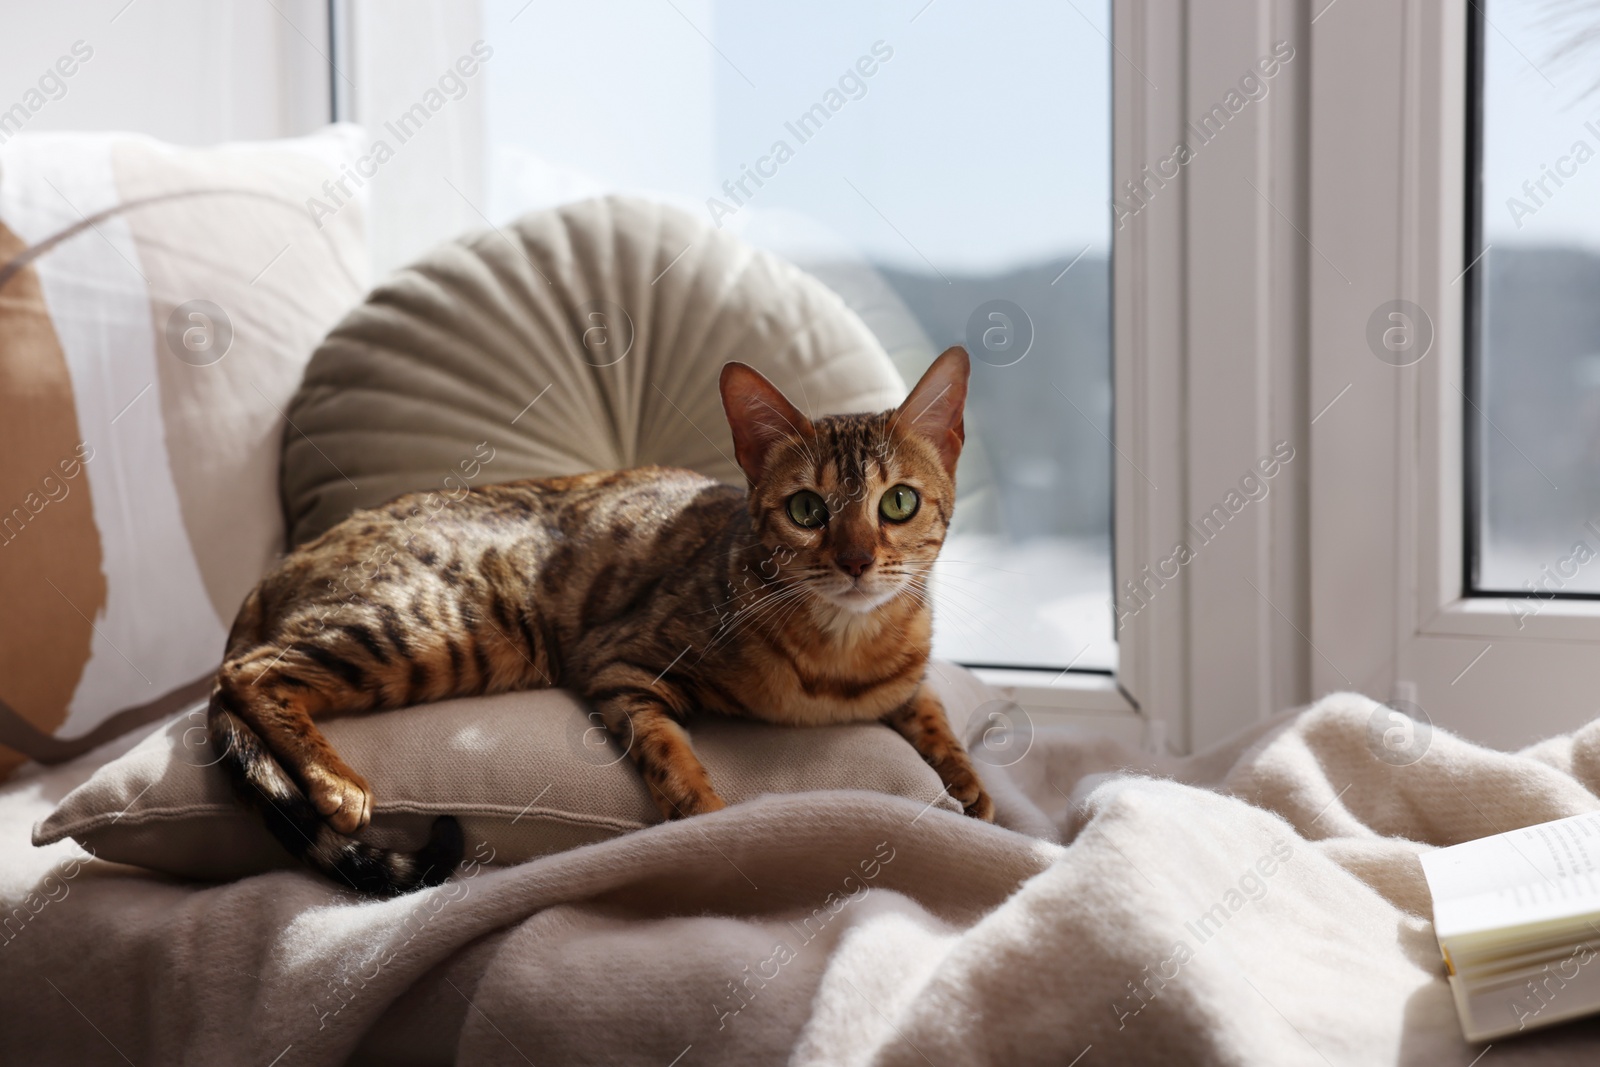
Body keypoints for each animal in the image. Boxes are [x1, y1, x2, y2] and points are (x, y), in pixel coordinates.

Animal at [209, 343, 985, 895]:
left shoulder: (908, 682)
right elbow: (672, 757)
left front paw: (972, 790)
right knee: (247, 672)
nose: (856, 561)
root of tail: (286, 561)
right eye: (806, 509)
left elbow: (936, 718)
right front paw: (711, 824)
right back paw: (336, 780)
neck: (840, 658)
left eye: (898, 502)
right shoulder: (620, 663)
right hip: (433, 629)